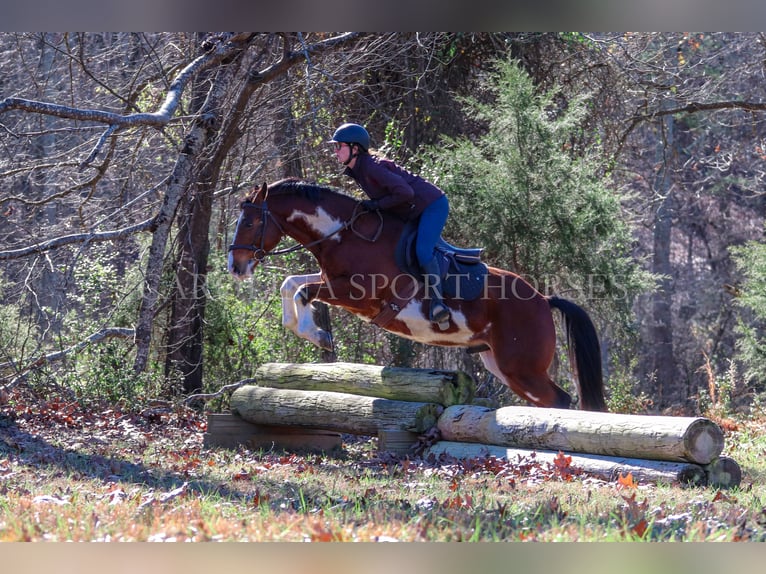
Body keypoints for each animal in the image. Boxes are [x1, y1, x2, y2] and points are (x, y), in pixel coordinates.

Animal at [225, 178, 608, 412]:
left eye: (250, 222)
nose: (235, 266)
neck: (342, 234)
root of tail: (543, 300)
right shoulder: (330, 280)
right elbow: (290, 284)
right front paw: (314, 333)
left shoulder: (357, 293)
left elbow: (303, 291)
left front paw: (318, 336)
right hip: (500, 364)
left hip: (522, 368)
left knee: (559, 400)